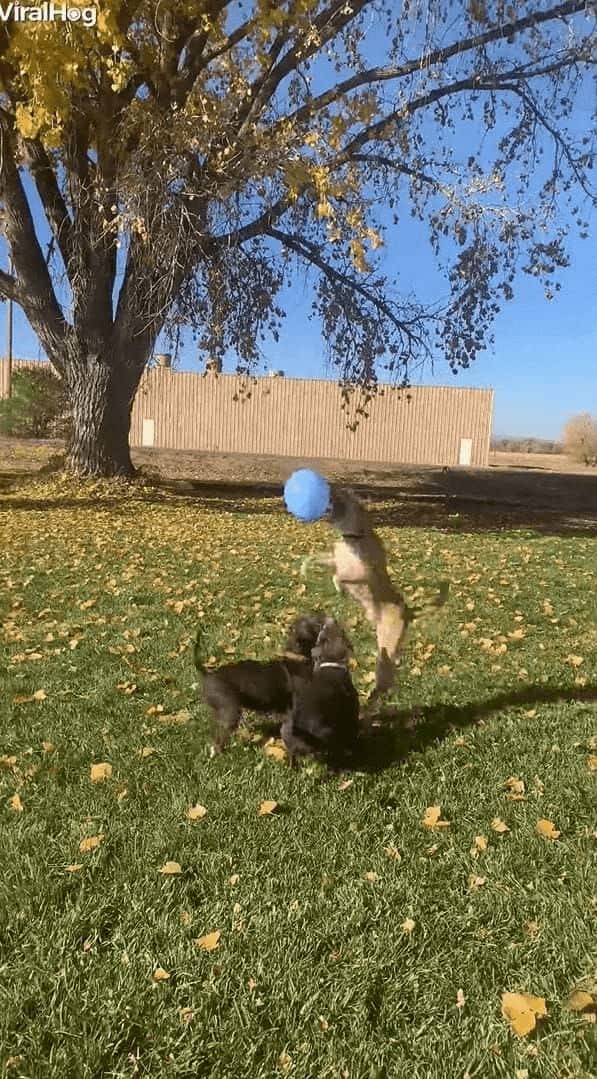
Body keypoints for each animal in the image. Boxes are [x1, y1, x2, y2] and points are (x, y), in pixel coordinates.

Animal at [194, 612, 326, 755]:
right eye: (315, 622)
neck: (297, 657)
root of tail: (207, 674)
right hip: (229, 711)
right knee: (220, 737)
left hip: (219, 710)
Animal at [302, 487, 446, 699]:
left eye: (341, 496)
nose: (328, 491)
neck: (354, 536)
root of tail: (408, 610)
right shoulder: (335, 560)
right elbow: (316, 559)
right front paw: (304, 568)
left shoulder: (364, 574)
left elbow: (339, 576)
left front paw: (339, 587)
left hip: (388, 643)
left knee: (386, 676)